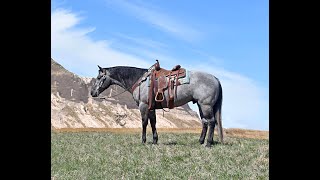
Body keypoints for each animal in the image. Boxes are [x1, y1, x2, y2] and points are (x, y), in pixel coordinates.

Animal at [91, 64, 224, 147]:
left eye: (99, 77)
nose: (92, 93)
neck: (140, 81)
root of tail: (215, 78)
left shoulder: (143, 106)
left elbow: (144, 122)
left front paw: (143, 141)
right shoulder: (151, 108)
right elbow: (153, 122)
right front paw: (155, 140)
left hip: (206, 106)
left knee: (211, 122)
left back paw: (208, 143)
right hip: (202, 106)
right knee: (205, 122)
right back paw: (201, 141)